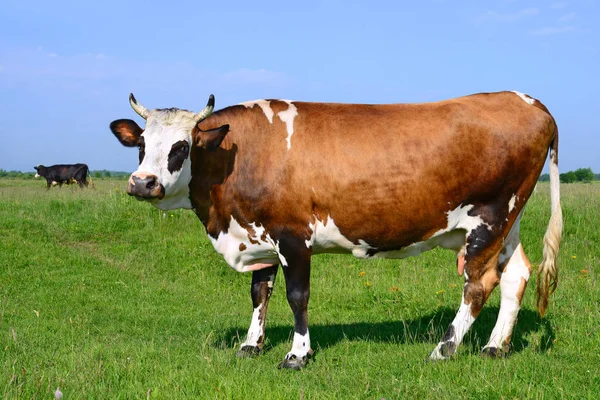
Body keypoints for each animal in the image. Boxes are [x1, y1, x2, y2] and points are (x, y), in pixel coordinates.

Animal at [109, 90, 564, 368]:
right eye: (141, 145)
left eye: (181, 147)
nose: (142, 183)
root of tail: (527, 101)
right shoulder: (257, 234)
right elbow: (260, 292)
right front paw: (250, 345)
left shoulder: (293, 236)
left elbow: (296, 297)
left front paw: (297, 354)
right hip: (509, 223)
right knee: (516, 274)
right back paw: (494, 347)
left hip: (490, 218)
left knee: (479, 283)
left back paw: (443, 349)